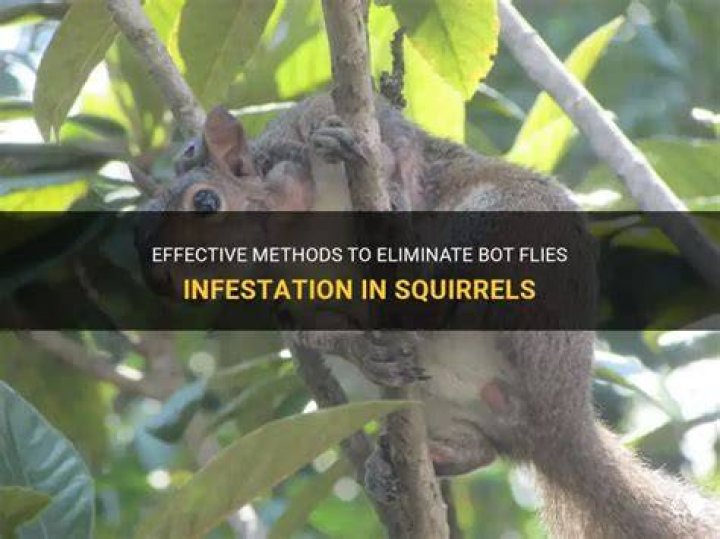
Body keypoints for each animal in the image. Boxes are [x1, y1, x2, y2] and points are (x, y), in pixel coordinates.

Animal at [139, 94, 720, 538]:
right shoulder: (294, 304)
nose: (161, 279)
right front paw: (359, 348)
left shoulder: (322, 132)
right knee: (481, 449)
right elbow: (321, 334)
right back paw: (400, 459)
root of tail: (560, 418)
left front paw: (354, 151)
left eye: (206, 202)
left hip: (505, 235)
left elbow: (386, 142)